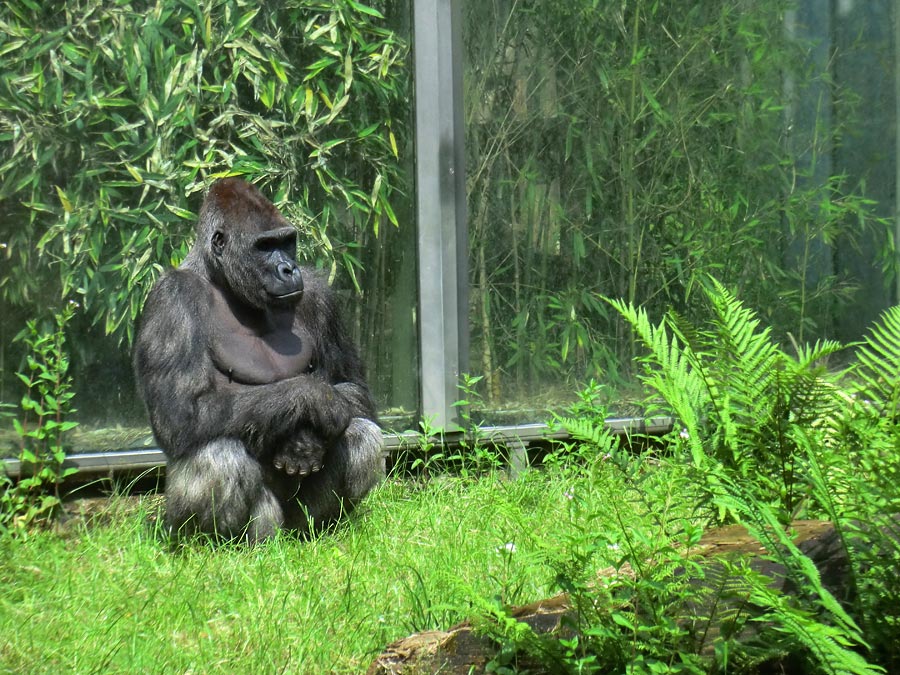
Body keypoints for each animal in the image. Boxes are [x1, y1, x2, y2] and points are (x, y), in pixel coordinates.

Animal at [133, 178, 384, 544]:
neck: (221, 280)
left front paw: (308, 436)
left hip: (296, 525)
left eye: (287, 242)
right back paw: (217, 546)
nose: (288, 269)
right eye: (264, 246)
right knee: (218, 454)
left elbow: (351, 388)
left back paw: (319, 530)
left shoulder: (320, 294)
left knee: (362, 433)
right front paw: (312, 398)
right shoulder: (170, 301)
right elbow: (181, 414)